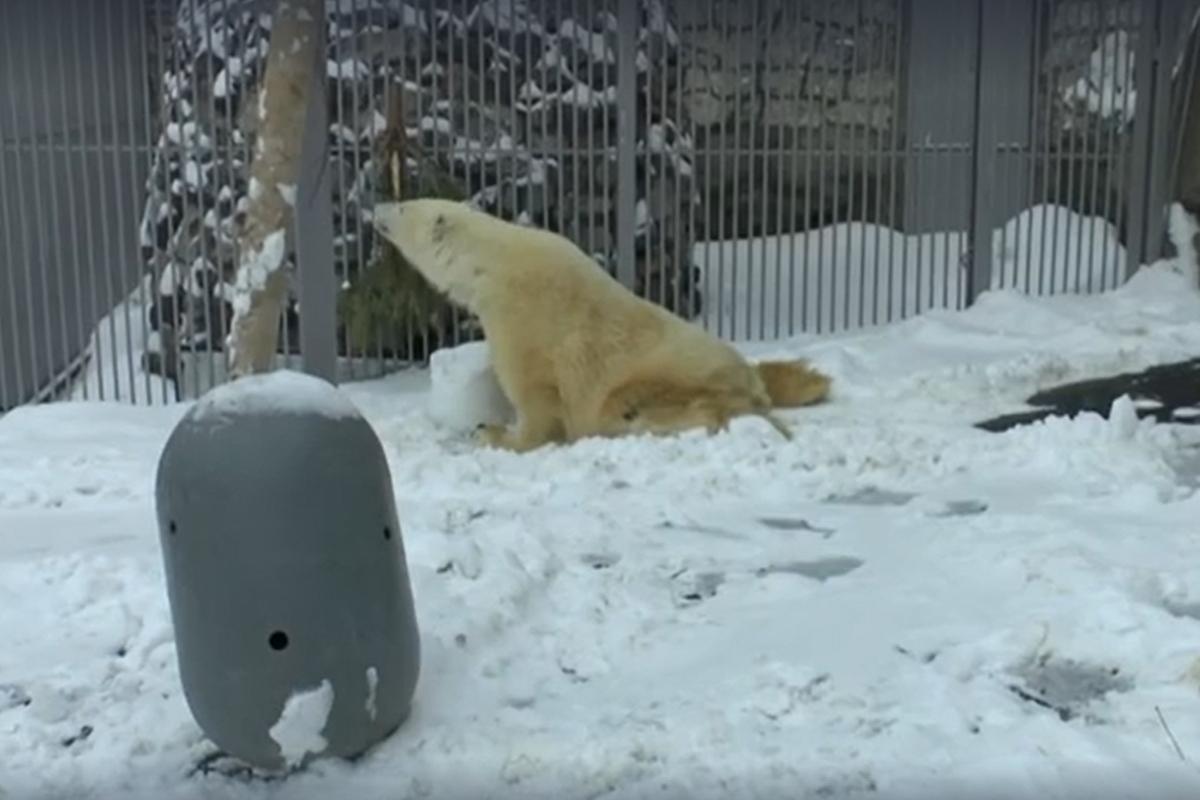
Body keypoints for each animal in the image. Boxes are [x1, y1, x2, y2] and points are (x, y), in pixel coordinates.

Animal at [369, 197, 830, 453]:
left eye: (404, 204)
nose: (374, 207)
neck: (492, 263)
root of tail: (749, 385)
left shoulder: (521, 313)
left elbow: (535, 392)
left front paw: (494, 433)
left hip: (666, 376)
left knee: (629, 404)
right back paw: (808, 381)